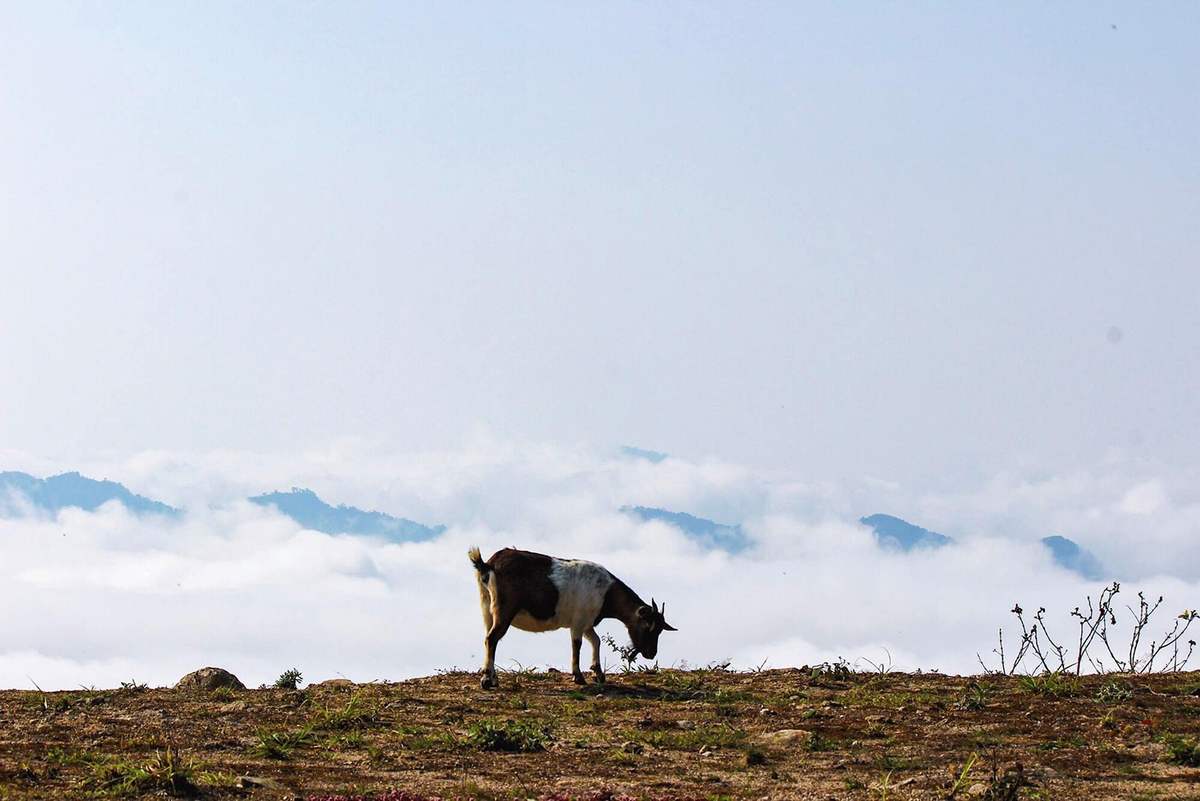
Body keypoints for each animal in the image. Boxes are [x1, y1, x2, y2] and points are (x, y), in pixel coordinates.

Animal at [465, 546, 676, 690]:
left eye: (660, 629)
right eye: (648, 626)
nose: (651, 653)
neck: (606, 592)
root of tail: (488, 564)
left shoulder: (587, 623)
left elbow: (596, 640)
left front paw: (598, 673)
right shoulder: (579, 621)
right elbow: (577, 644)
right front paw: (579, 677)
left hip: (487, 608)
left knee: (489, 638)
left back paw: (493, 678)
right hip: (504, 609)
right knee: (492, 638)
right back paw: (487, 681)